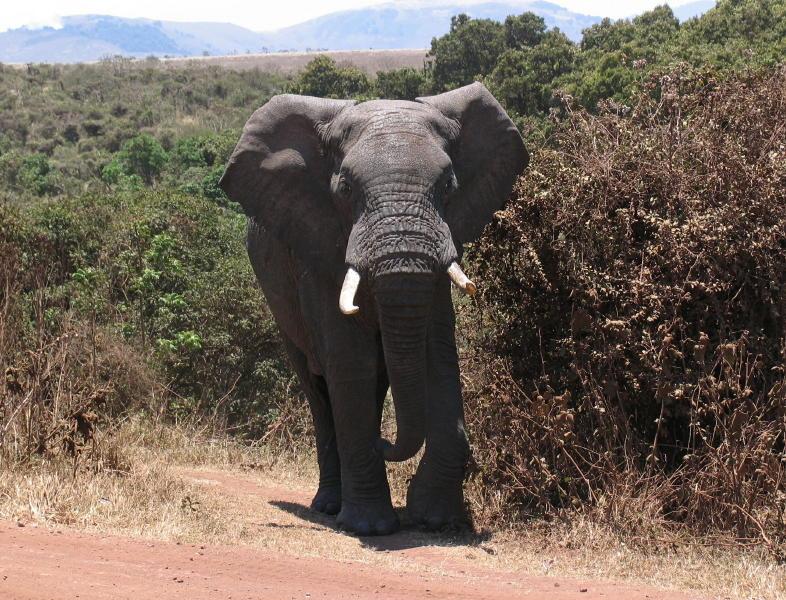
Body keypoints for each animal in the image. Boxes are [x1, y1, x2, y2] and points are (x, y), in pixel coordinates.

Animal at [219, 82, 528, 536]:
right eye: (345, 190)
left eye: (449, 187)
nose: (385, 442)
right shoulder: (317, 244)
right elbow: (350, 361)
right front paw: (370, 527)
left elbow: (438, 353)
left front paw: (435, 519)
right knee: (317, 388)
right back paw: (329, 505)